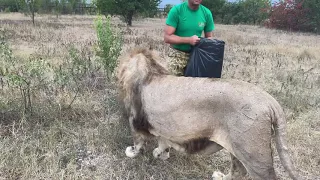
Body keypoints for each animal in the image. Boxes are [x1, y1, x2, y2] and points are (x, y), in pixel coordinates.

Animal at [115, 46, 302, 180]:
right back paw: (220, 177)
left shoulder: (134, 119)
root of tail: (270, 102)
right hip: (237, 148)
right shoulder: (163, 127)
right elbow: (163, 141)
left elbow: (138, 141)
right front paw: (161, 154)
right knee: (239, 171)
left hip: (254, 154)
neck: (150, 71)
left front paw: (132, 153)